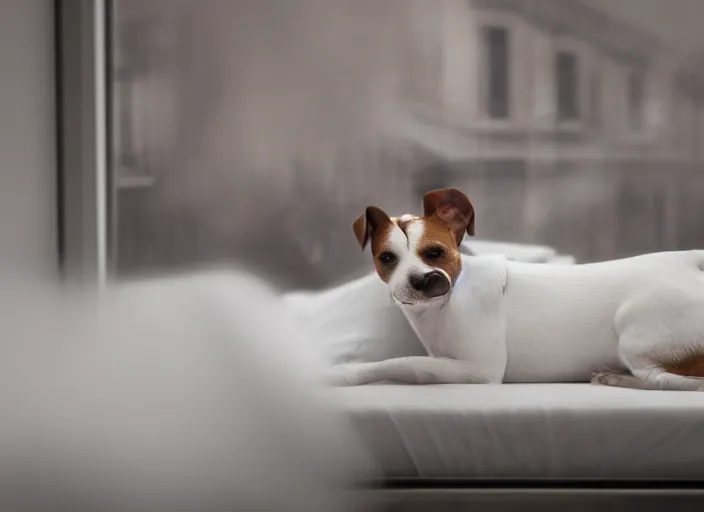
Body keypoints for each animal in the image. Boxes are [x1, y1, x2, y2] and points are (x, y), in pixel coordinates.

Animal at [326, 188, 704, 392]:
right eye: (386, 258)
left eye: (436, 252)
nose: (422, 280)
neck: (446, 303)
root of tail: (688, 262)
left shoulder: (479, 369)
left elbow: (401, 363)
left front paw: (343, 373)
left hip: (635, 335)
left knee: (671, 381)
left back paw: (619, 378)